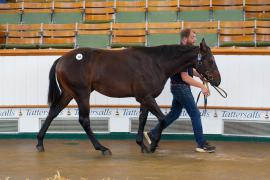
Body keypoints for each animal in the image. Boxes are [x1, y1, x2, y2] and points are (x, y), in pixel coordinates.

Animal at [36, 39, 221, 155]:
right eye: (210, 60)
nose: (218, 80)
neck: (156, 63)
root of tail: (61, 59)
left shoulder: (144, 98)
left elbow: (142, 120)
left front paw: (143, 145)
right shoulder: (146, 97)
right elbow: (162, 119)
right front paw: (152, 145)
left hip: (69, 93)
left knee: (53, 112)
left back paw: (39, 143)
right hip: (82, 94)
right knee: (84, 120)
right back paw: (102, 148)